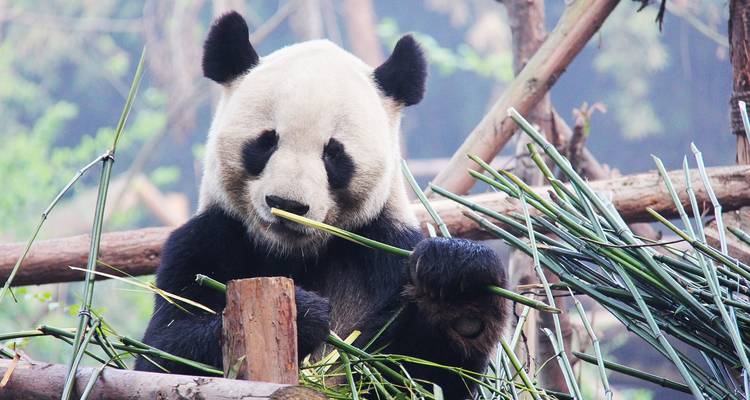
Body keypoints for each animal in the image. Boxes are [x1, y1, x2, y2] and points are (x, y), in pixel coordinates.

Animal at [135, 11, 508, 399]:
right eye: (266, 142)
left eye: (333, 153)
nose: (286, 204)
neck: (293, 254)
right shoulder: (205, 240)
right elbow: (161, 354)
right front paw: (304, 313)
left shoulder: (385, 248)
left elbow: (421, 374)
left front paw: (458, 284)